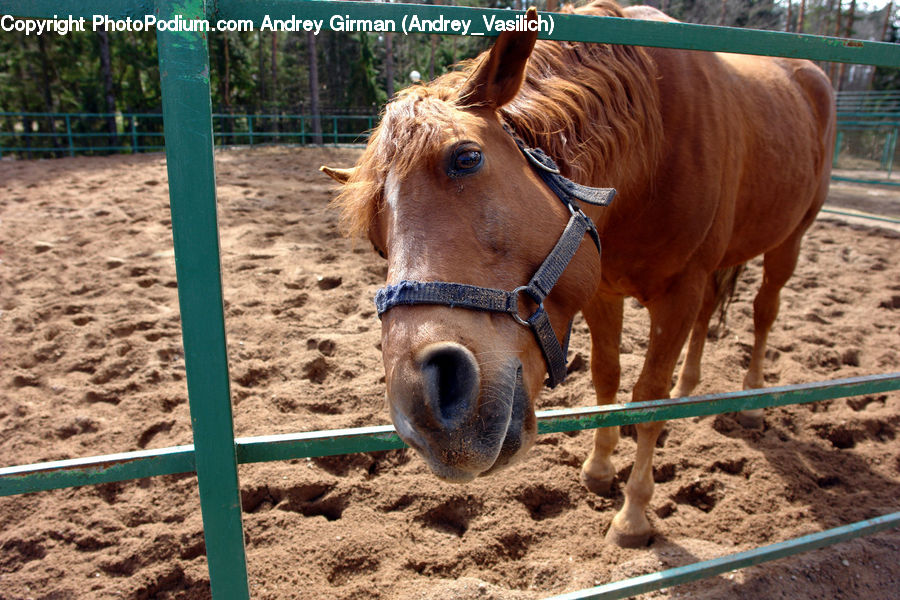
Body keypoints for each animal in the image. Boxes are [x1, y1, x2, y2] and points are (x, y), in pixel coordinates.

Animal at [321, 1, 836, 547]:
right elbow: (606, 378)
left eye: (467, 158)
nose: (422, 408)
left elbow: (647, 401)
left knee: (764, 312)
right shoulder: (603, 289)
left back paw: (755, 398)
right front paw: (599, 468)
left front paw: (632, 515)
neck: (650, 146)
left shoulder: (680, 291)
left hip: (789, 241)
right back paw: (690, 387)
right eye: (377, 240)